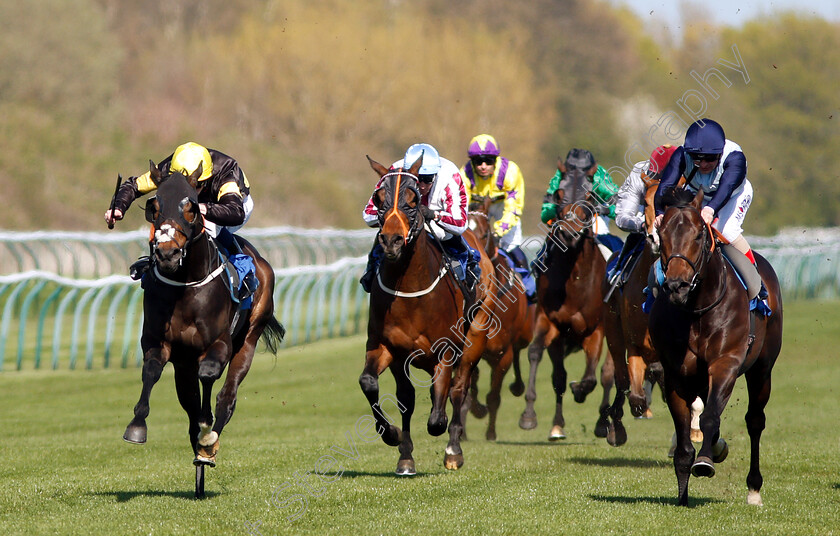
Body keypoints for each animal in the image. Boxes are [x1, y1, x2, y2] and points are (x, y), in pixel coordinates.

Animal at [122, 160, 286, 498]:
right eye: (154, 206)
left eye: (191, 208)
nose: (168, 253)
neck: (185, 286)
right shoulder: (161, 343)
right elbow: (151, 371)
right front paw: (137, 426)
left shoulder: (218, 344)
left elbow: (209, 376)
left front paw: (207, 431)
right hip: (184, 366)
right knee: (189, 405)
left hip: (248, 339)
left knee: (227, 396)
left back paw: (207, 447)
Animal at [358, 154, 496, 474]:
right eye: (378, 198)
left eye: (413, 199)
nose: (391, 241)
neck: (410, 289)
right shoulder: (388, 348)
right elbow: (380, 388)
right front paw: (397, 443)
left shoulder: (444, 351)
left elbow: (437, 411)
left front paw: (441, 427)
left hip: (476, 334)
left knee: (458, 388)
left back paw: (454, 450)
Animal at [462, 195, 536, 442]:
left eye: (484, 234)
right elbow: (469, 389)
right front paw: (472, 415)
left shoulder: (503, 354)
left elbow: (494, 396)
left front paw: (491, 433)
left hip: (524, 335)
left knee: (520, 352)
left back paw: (518, 387)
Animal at [652, 186, 784, 504]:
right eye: (662, 234)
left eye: (698, 235)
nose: (677, 285)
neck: (696, 310)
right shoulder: (675, 375)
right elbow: (684, 434)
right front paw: (683, 494)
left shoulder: (725, 364)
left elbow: (711, 415)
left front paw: (704, 461)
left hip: (762, 369)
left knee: (755, 421)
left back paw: (754, 488)